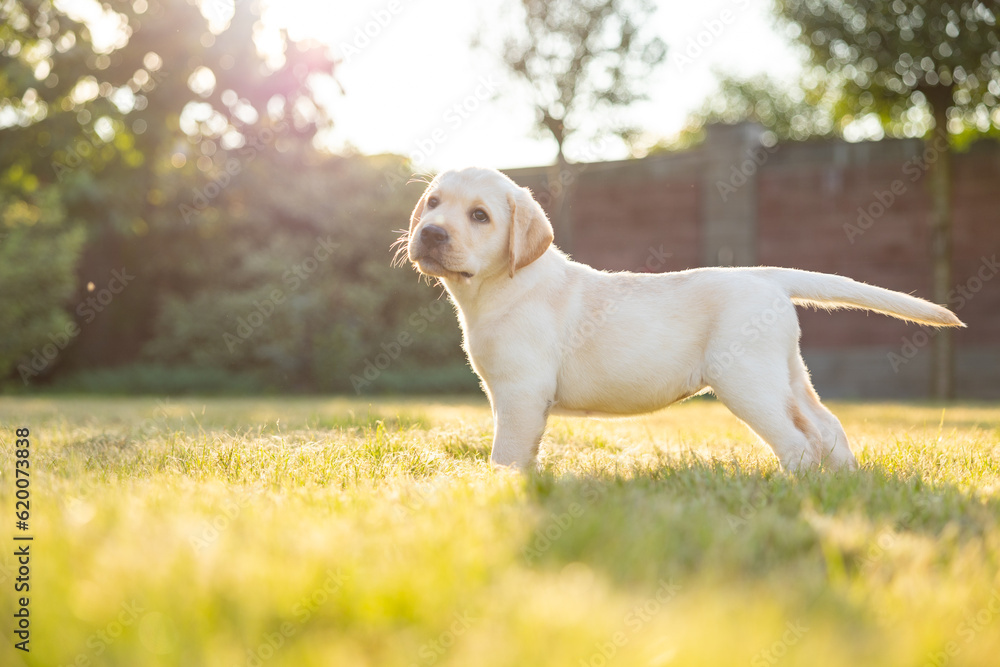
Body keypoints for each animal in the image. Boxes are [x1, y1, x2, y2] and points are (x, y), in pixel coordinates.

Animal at [402, 166, 964, 470]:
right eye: (432, 203)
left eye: (480, 216)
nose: (429, 232)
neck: (499, 287)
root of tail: (765, 276)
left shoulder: (520, 394)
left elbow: (508, 454)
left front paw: (496, 490)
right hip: (786, 375)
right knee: (827, 427)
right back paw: (847, 483)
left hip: (746, 382)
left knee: (799, 443)